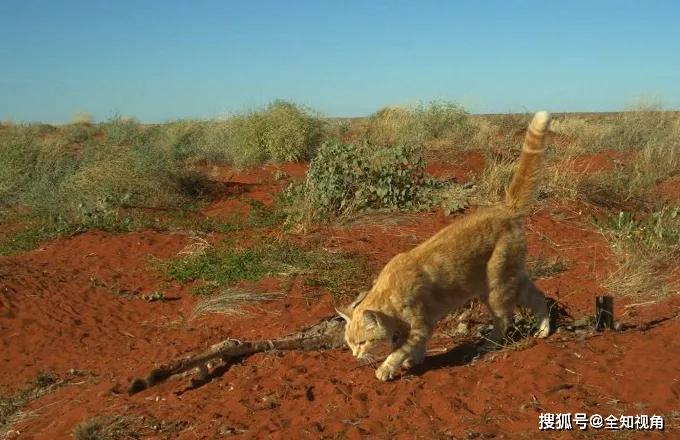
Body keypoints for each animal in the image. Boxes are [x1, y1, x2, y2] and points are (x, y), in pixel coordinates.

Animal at [338, 111, 556, 382]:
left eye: (362, 342)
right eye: (349, 343)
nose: (355, 355)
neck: (389, 296)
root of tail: (505, 207)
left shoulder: (420, 326)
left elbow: (399, 351)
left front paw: (387, 368)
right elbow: (411, 349)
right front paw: (414, 360)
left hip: (496, 288)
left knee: (505, 318)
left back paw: (490, 344)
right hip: (511, 276)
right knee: (538, 296)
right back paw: (544, 330)